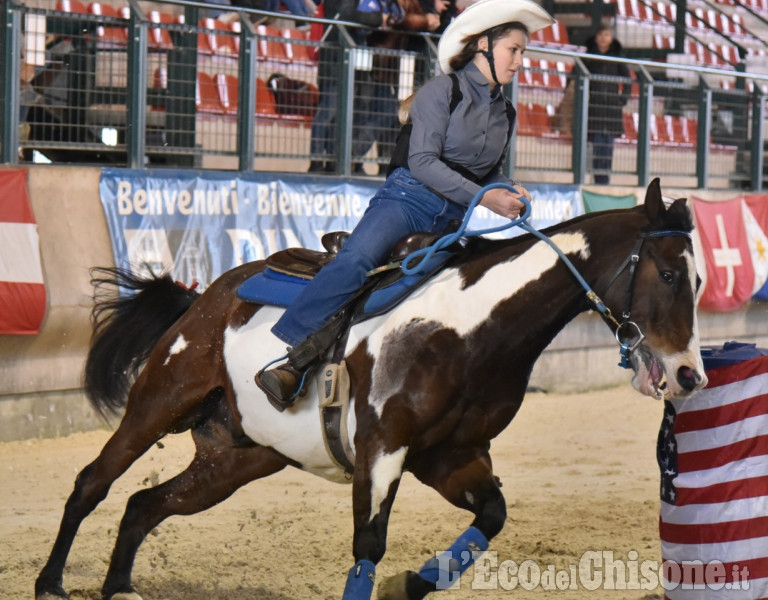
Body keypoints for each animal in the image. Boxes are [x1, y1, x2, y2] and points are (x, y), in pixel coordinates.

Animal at [37, 177, 708, 600]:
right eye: (668, 274)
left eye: (699, 278)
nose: (689, 374)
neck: (470, 328)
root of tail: (206, 295)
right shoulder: (381, 450)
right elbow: (369, 543)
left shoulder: (452, 457)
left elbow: (490, 518)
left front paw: (409, 584)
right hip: (157, 403)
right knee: (93, 484)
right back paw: (50, 583)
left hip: (237, 458)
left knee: (143, 505)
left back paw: (119, 587)